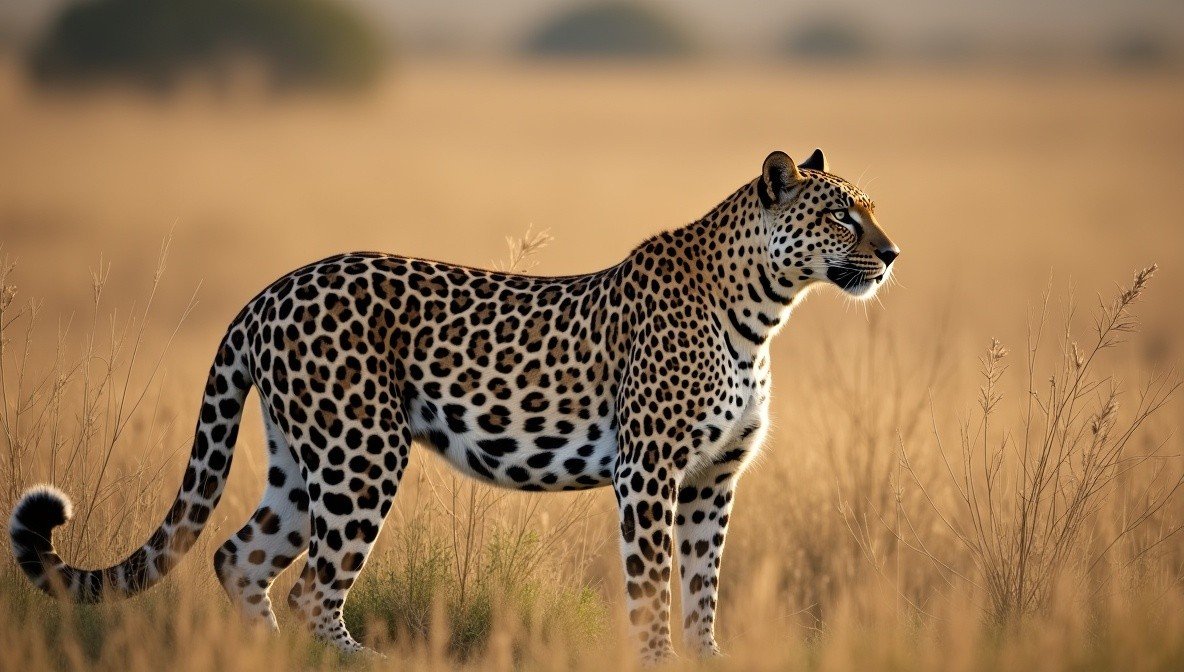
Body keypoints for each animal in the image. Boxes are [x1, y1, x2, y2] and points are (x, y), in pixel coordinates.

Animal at [10, 149, 899, 663]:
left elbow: (703, 587)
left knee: (241, 558)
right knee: (311, 591)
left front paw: (709, 657)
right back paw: (361, 661)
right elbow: (652, 590)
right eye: (840, 214)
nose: (893, 253)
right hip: (361, 453)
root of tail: (271, 290)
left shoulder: (714, 479)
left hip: (303, 462)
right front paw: (660, 658)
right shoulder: (648, 474)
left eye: (872, 209)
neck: (764, 311)